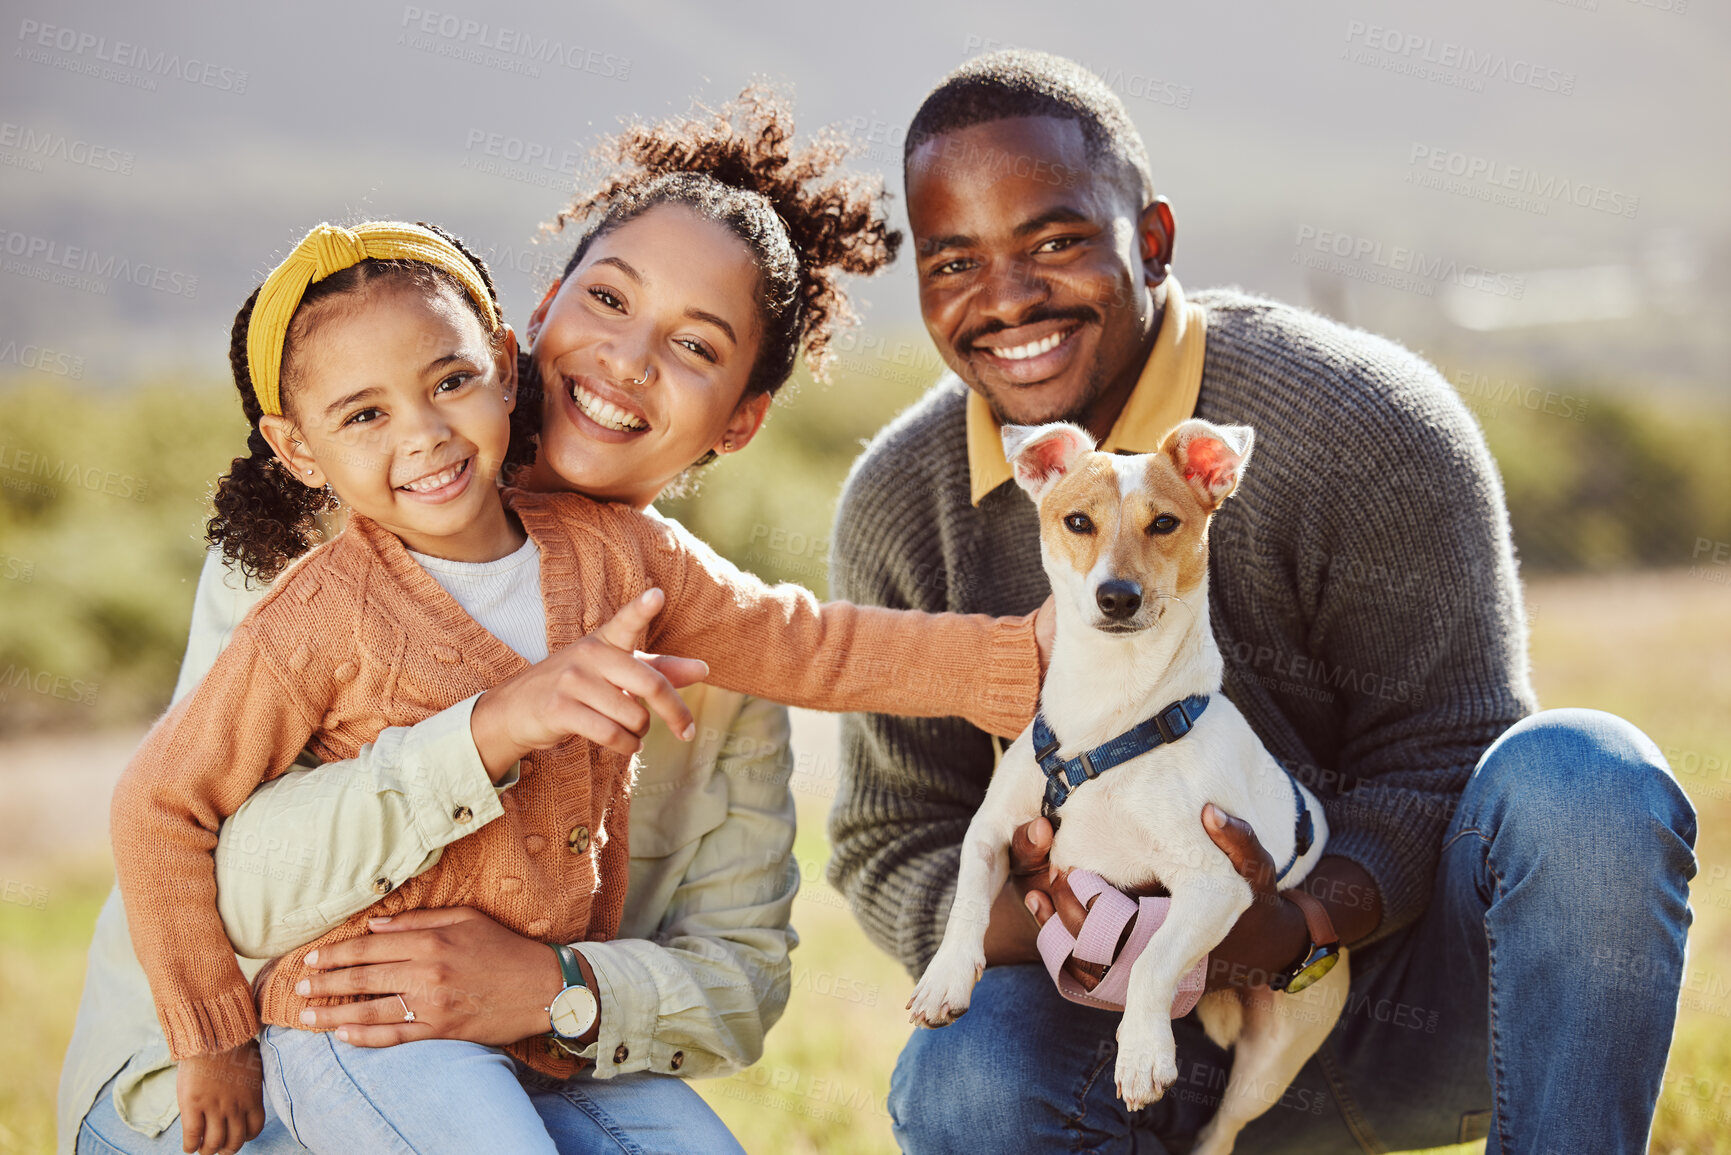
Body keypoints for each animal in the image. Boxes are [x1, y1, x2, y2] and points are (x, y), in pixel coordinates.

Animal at [913, 420, 1343, 1149]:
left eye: (1164, 522)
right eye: (1077, 521)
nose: (1117, 595)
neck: (1109, 713)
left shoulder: (1216, 882)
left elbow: (1150, 961)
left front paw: (1142, 1051)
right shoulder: (992, 830)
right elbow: (967, 899)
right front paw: (944, 977)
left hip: (1273, 1055)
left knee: (1224, 1126)